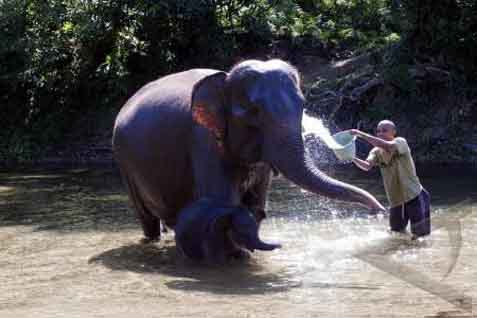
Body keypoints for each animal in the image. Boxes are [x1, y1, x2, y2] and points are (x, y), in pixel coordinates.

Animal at [111, 58, 384, 262]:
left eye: (304, 104)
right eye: (254, 112)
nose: (378, 210)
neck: (224, 80)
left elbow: (256, 201)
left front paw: (242, 253)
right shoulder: (203, 138)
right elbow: (223, 198)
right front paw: (234, 256)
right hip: (123, 160)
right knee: (146, 218)